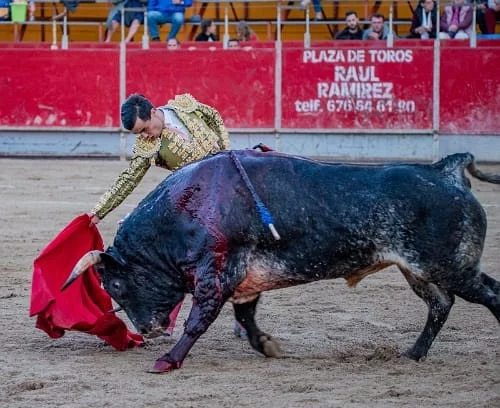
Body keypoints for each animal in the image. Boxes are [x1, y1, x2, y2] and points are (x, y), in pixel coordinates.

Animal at [62, 151, 500, 372]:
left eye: (116, 285)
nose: (147, 330)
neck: (188, 207)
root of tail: (446, 170)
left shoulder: (216, 273)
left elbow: (198, 319)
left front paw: (167, 361)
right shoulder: (244, 280)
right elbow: (245, 316)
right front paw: (267, 346)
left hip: (448, 267)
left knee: (488, 295)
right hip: (419, 271)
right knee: (441, 305)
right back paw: (412, 354)